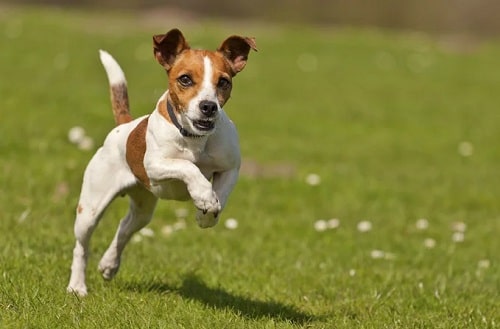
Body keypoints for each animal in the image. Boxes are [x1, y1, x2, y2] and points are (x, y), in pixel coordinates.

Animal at [68, 28, 256, 294]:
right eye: (185, 79)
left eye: (223, 82)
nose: (209, 106)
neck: (195, 138)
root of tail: (125, 125)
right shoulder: (154, 166)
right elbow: (187, 166)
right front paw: (203, 196)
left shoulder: (230, 168)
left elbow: (221, 192)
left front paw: (207, 212)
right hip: (91, 208)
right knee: (81, 247)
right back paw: (77, 286)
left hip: (143, 208)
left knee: (124, 228)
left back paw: (109, 264)